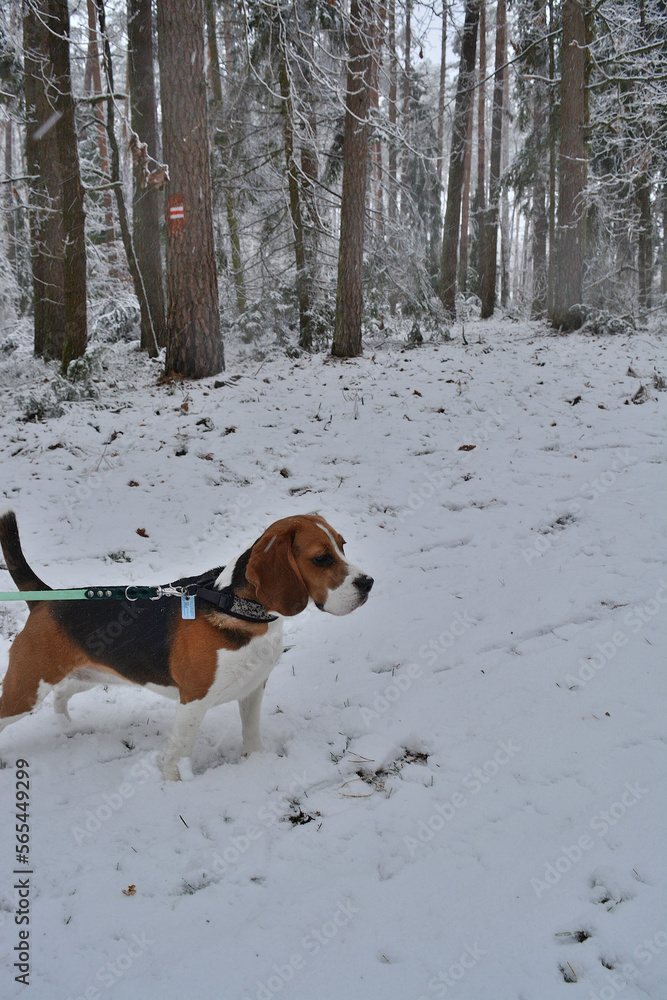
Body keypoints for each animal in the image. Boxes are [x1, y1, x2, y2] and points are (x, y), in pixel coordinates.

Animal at [0, 508, 370, 780]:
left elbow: (251, 731)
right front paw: (174, 784)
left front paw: (257, 762)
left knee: (61, 694)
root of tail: (46, 598)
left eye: (343, 545)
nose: (369, 582)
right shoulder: (193, 700)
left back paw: (66, 726)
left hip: (85, 675)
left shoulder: (253, 687)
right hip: (24, 692)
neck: (235, 606)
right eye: (321, 559)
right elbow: (180, 750)